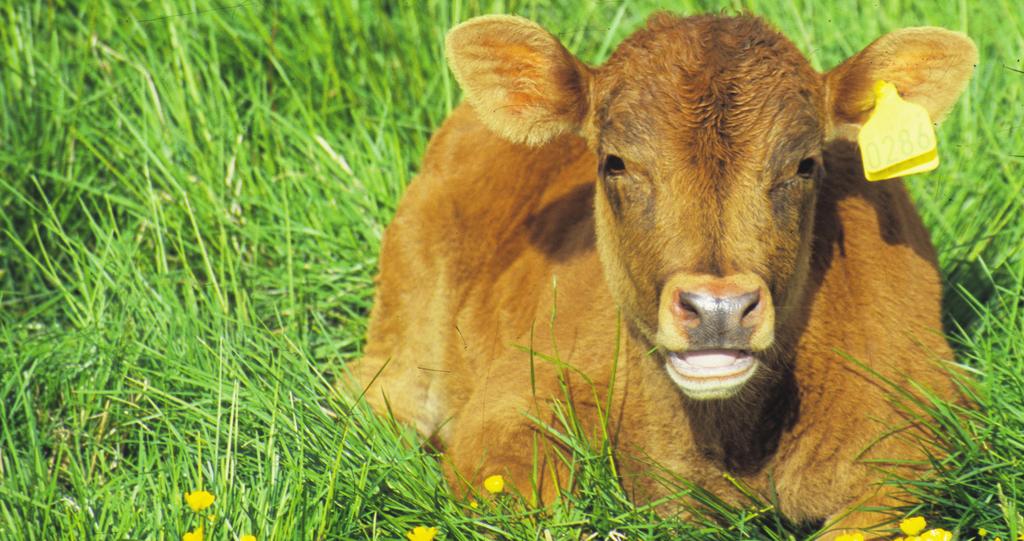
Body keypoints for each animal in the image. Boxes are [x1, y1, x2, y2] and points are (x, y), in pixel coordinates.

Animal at [348, 11, 978, 536]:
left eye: (805, 165)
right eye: (615, 162)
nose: (719, 309)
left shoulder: (917, 434)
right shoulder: (508, 406)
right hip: (402, 339)